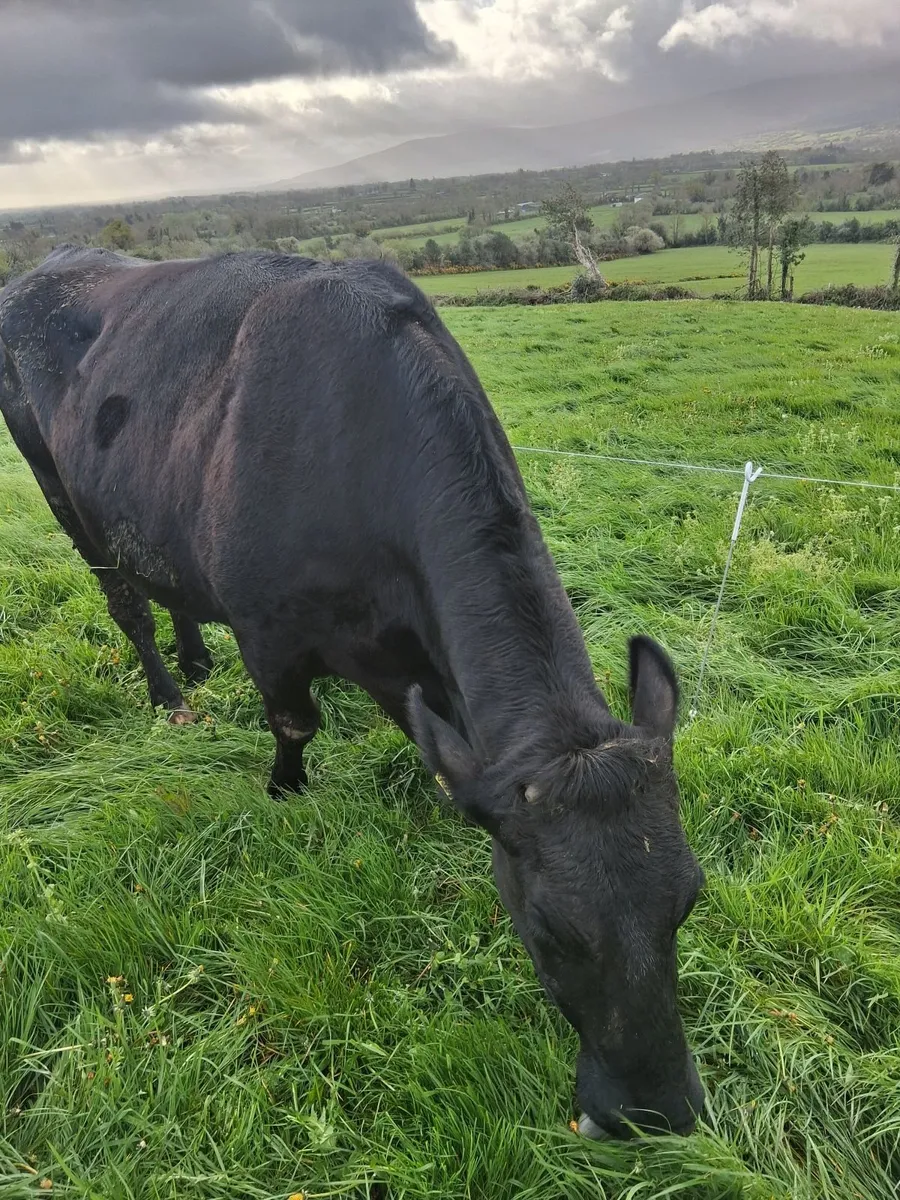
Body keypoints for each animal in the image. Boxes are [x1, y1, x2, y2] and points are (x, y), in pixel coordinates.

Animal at [0, 245, 705, 1140]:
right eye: (549, 931)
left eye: (689, 898)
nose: (657, 1113)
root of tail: (54, 263)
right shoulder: (268, 632)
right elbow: (294, 722)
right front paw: (283, 790)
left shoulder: (413, 661)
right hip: (61, 490)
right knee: (125, 599)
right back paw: (169, 692)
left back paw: (195, 662)